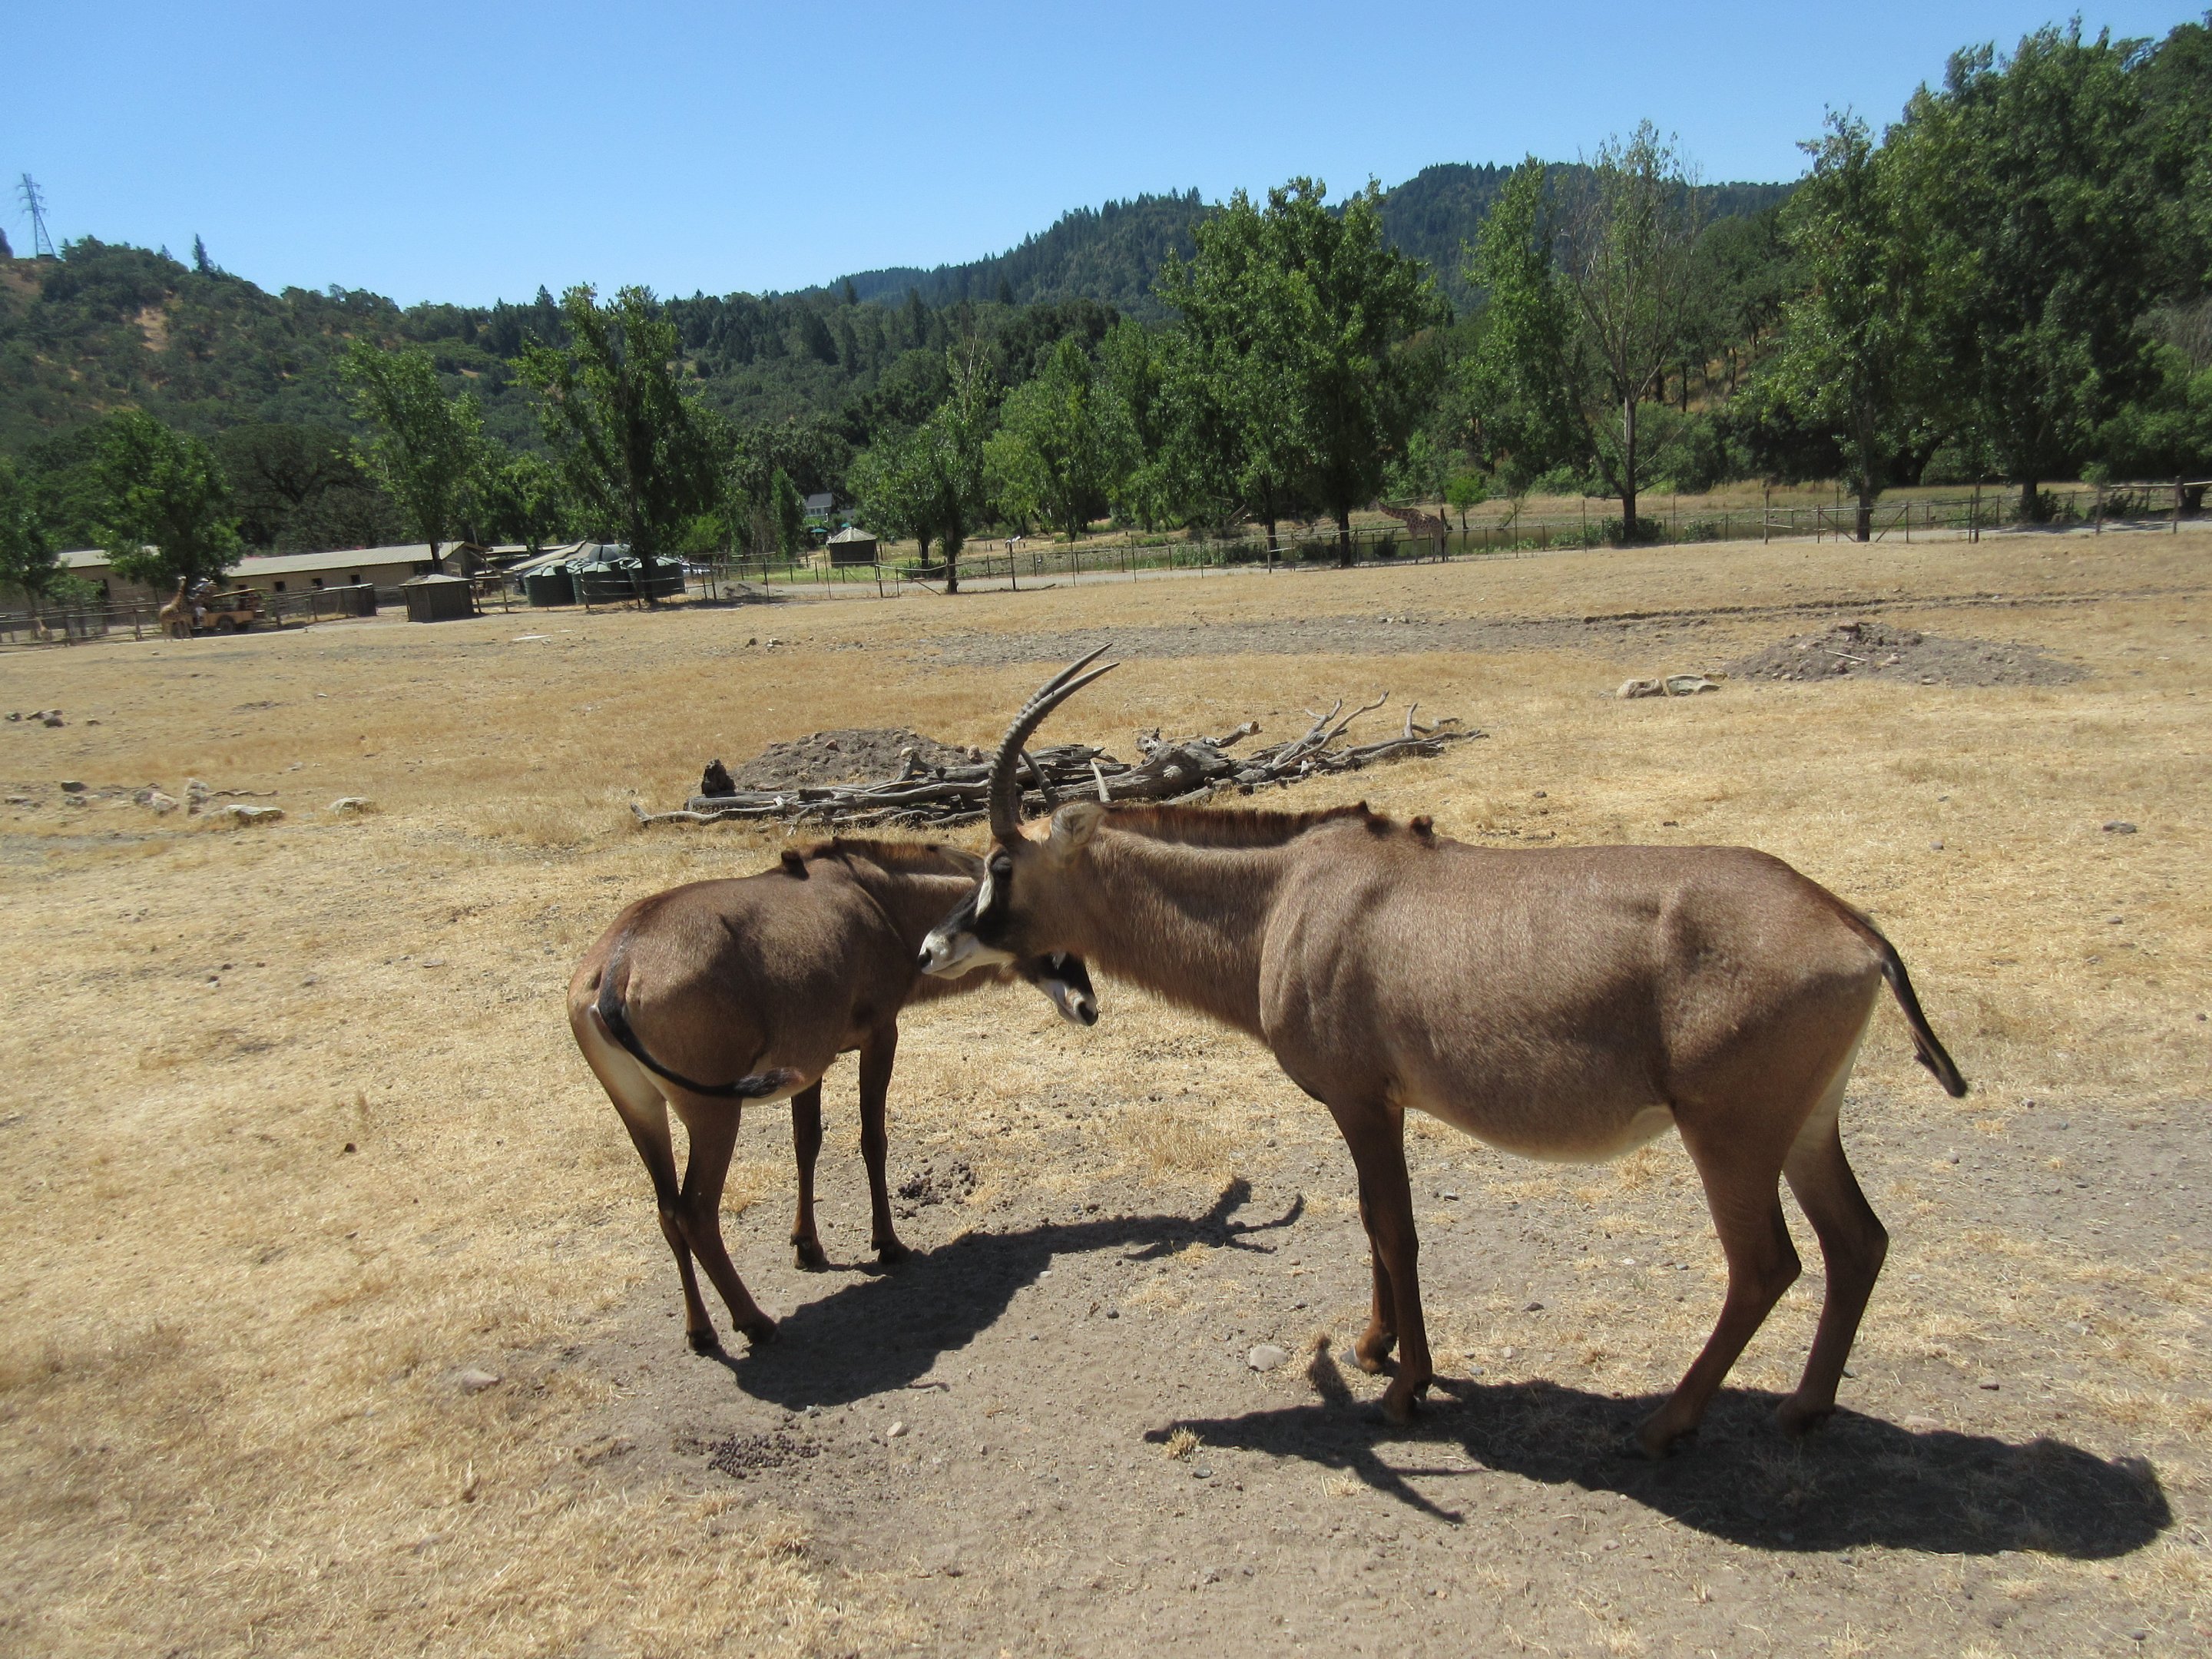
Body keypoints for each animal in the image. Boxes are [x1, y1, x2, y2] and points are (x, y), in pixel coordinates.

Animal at [570, 837, 1097, 1354]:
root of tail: (617, 968)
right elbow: (872, 1140)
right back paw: (756, 1323)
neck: (878, 898)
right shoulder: (882, 1034)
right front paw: (888, 1244)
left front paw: (807, 1247)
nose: (1087, 1006)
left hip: (640, 1109)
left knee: (666, 1210)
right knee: (695, 1212)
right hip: (712, 1112)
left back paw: (701, 1332)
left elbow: (806, 1143)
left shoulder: (809, 1063)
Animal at [919, 652, 1967, 1455]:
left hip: (1731, 1136)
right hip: (1807, 1126)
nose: (933, 947)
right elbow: (1369, 1220)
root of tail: (1851, 925)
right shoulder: (1368, 1108)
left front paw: (1404, 1386)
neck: (1286, 897)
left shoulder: (1363, 1101)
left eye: (1000, 866)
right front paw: (1376, 1347)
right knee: (1858, 1240)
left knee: (1765, 1265)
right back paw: (1803, 1409)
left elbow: (1395, 1228)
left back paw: (1666, 1425)